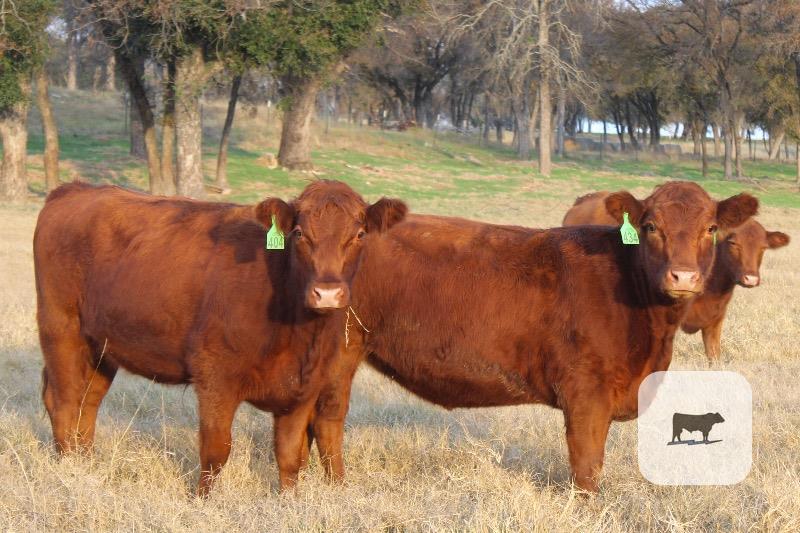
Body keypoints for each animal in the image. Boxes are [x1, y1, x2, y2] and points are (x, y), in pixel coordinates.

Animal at [33, 180, 406, 495]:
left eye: (360, 234)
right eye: (299, 233)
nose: (326, 293)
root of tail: (75, 189)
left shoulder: (306, 386)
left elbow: (290, 455)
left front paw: (289, 502)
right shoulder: (215, 375)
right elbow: (216, 449)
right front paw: (201, 500)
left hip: (102, 346)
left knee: (88, 401)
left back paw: (85, 461)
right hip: (60, 329)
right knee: (64, 400)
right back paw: (68, 467)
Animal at [308, 181, 757, 493]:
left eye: (710, 228)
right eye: (650, 227)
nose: (683, 276)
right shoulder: (586, 392)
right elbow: (587, 464)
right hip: (342, 349)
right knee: (329, 417)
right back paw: (338, 487)